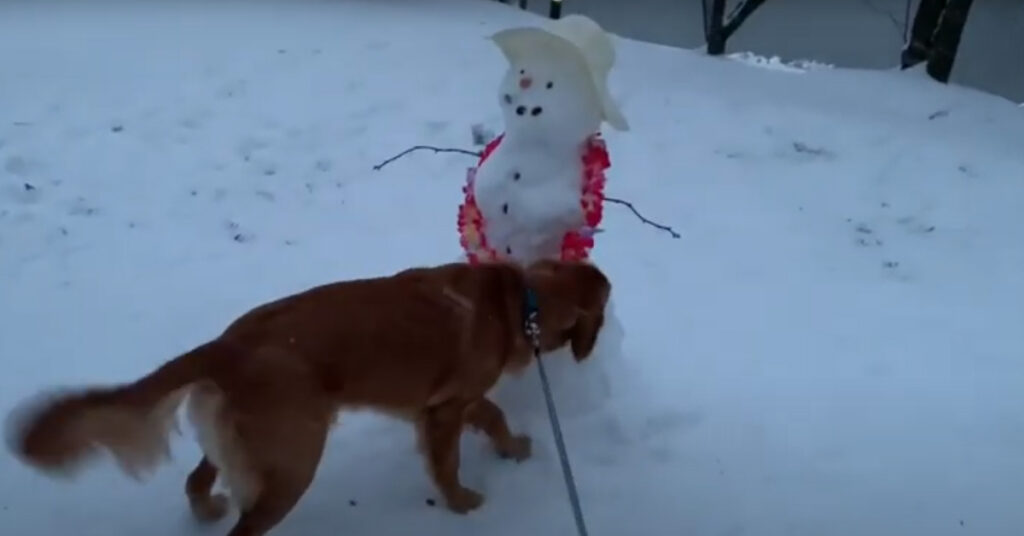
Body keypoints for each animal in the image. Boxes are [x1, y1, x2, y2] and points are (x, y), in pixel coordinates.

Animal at [4, 258, 606, 532]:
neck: (519, 299)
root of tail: (226, 346)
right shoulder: (444, 412)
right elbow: (450, 464)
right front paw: (463, 503)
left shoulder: (455, 400)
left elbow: (498, 416)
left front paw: (514, 448)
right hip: (297, 459)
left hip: (251, 444)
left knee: (196, 479)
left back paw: (206, 508)